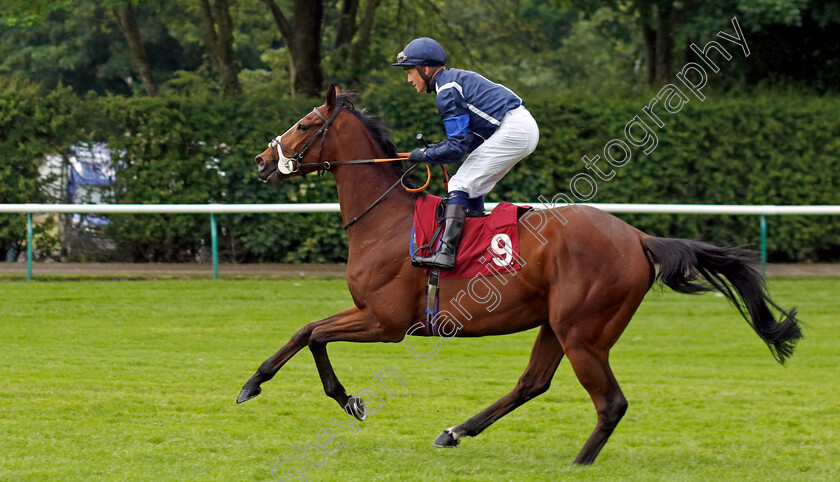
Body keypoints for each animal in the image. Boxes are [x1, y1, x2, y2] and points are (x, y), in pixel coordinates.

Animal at [240, 84, 804, 466]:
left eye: (306, 123)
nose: (263, 160)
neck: (384, 220)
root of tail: (638, 239)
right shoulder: (370, 314)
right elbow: (307, 332)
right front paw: (299, 390)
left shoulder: (385, 320)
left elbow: (313, 334)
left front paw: (292, 389)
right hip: (557, 324)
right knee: (533, 382)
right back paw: (456, 431)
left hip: (583, 332)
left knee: (610, 403)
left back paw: (579, 462)